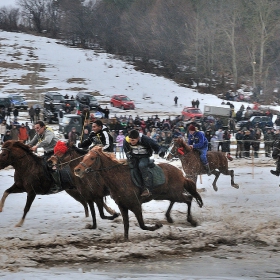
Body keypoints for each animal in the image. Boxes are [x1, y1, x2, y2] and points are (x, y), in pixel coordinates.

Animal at [73, 145, 202, 240]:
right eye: (84, 157)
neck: (119, 178)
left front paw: (157, 225)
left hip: (174, 193)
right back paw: (169, 217)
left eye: (92, 158)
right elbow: (126, 225)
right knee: (178, 200)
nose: (77, 170)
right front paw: (125, 239)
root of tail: (181, 174)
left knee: (189, 199)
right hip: (165, 194)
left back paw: (191, 220)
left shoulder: (135, 205)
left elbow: (142, 225)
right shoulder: (122, 206)